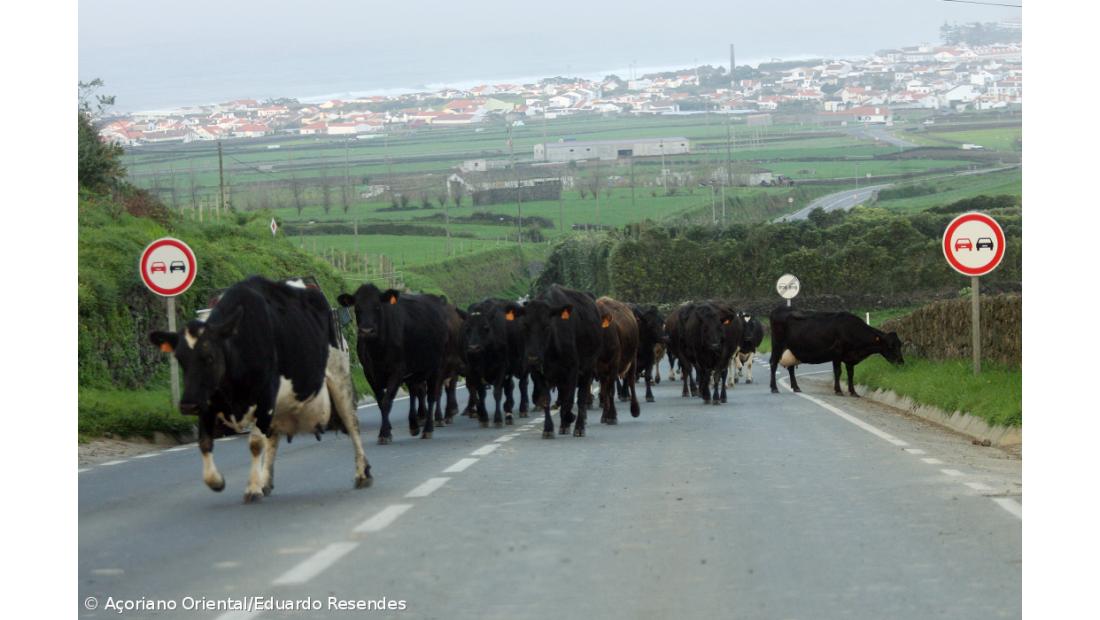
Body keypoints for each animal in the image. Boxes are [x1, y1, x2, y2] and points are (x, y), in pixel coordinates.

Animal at [148, 273, 371, 501]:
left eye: (209, 357)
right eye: (180, 359)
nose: (187, 405)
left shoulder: (264, 397)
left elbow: (255, 443)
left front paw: (252, 488)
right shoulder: (208, 402)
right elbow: (204, 443)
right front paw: (217, 481)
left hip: (339, 377)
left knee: (351, 423)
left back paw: (362, 474)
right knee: (273, 438)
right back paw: (266, 481)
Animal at [338, 283, 451, 444]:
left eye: (378, 306)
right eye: (357, 308)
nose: (366, 330)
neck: (377, 351)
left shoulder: (397, 370)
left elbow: (387, 401)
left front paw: (384, 433)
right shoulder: (370, 373)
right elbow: (381, 401)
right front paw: (387, 429)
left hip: (437, 366)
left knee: (431, 396)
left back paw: (428, 429)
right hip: (414, 371)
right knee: (415, 393)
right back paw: (414, 424)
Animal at [506, 283, 602, 437]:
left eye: (547, 326)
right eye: (525, 325)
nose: (532, 357)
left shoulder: (573, 370)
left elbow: (569, 398)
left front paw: (570, 418)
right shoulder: (539, 373)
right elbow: (547, 399)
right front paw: (548, 428)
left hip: (588, 367)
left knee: (581, 397)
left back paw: (579, 427)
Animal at [598, 296, 642, 424]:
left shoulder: (614, 364)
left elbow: (610, 390)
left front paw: (612, 416)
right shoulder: (599, 368)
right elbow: (604, 390)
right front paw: (605, 415)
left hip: (633, 358)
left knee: (631, 381)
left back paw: (635, 409)